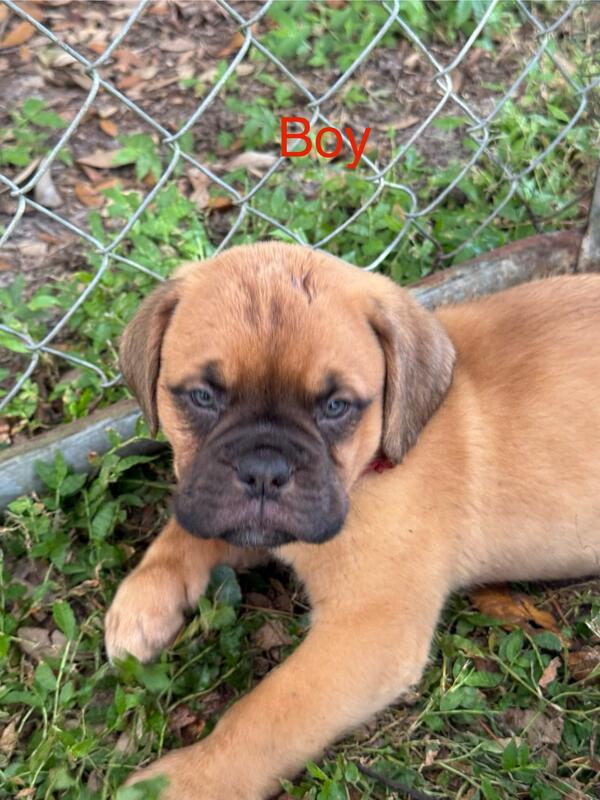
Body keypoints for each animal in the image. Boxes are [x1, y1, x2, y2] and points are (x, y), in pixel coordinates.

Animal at [105, 242, 600, 799]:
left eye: (337, 406)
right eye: (202, 397)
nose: (263, 471)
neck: (371, 467)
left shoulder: (370, 629)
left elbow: (269, 713)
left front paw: (186, 780)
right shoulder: (234, 515)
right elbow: (186, 533)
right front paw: (142, 604)